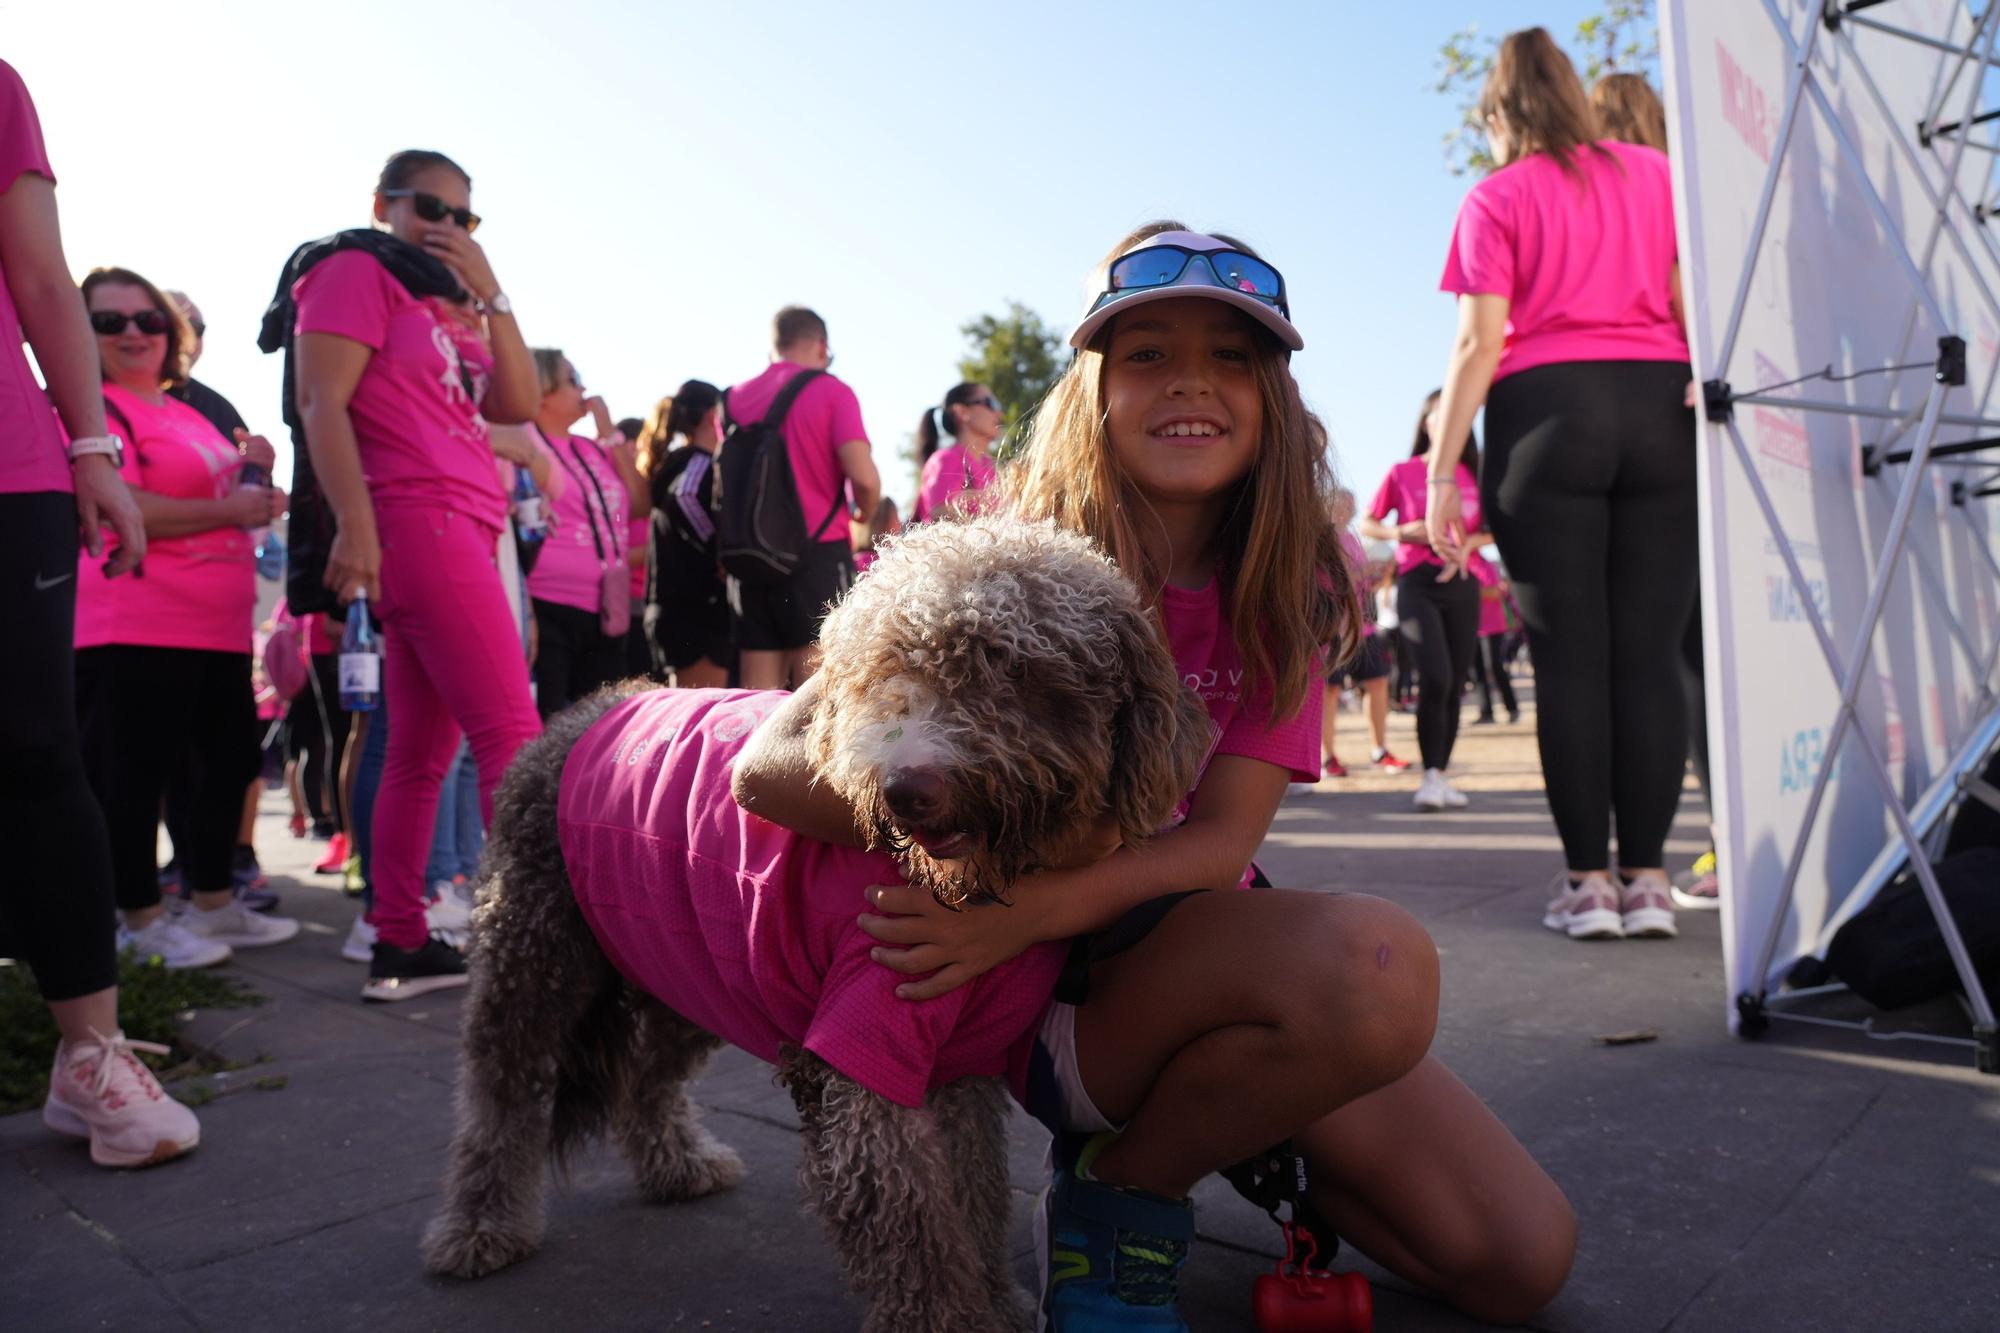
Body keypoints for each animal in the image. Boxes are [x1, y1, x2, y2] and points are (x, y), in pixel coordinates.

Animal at [416, 512, 1208, 1320]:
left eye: (1013, 667)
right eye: (884, 668)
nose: (906, 787)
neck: (973, 891)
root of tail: (582, 711)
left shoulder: (962, 1061)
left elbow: (976, 1188)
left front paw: (996, 1297)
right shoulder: (864, 1054)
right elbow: (913, 1228)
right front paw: (952, 1317)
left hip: (694, 971)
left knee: (645, 1076)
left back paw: (678, 1163)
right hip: (533, 962)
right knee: (499, 1096)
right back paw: (481, 1226)